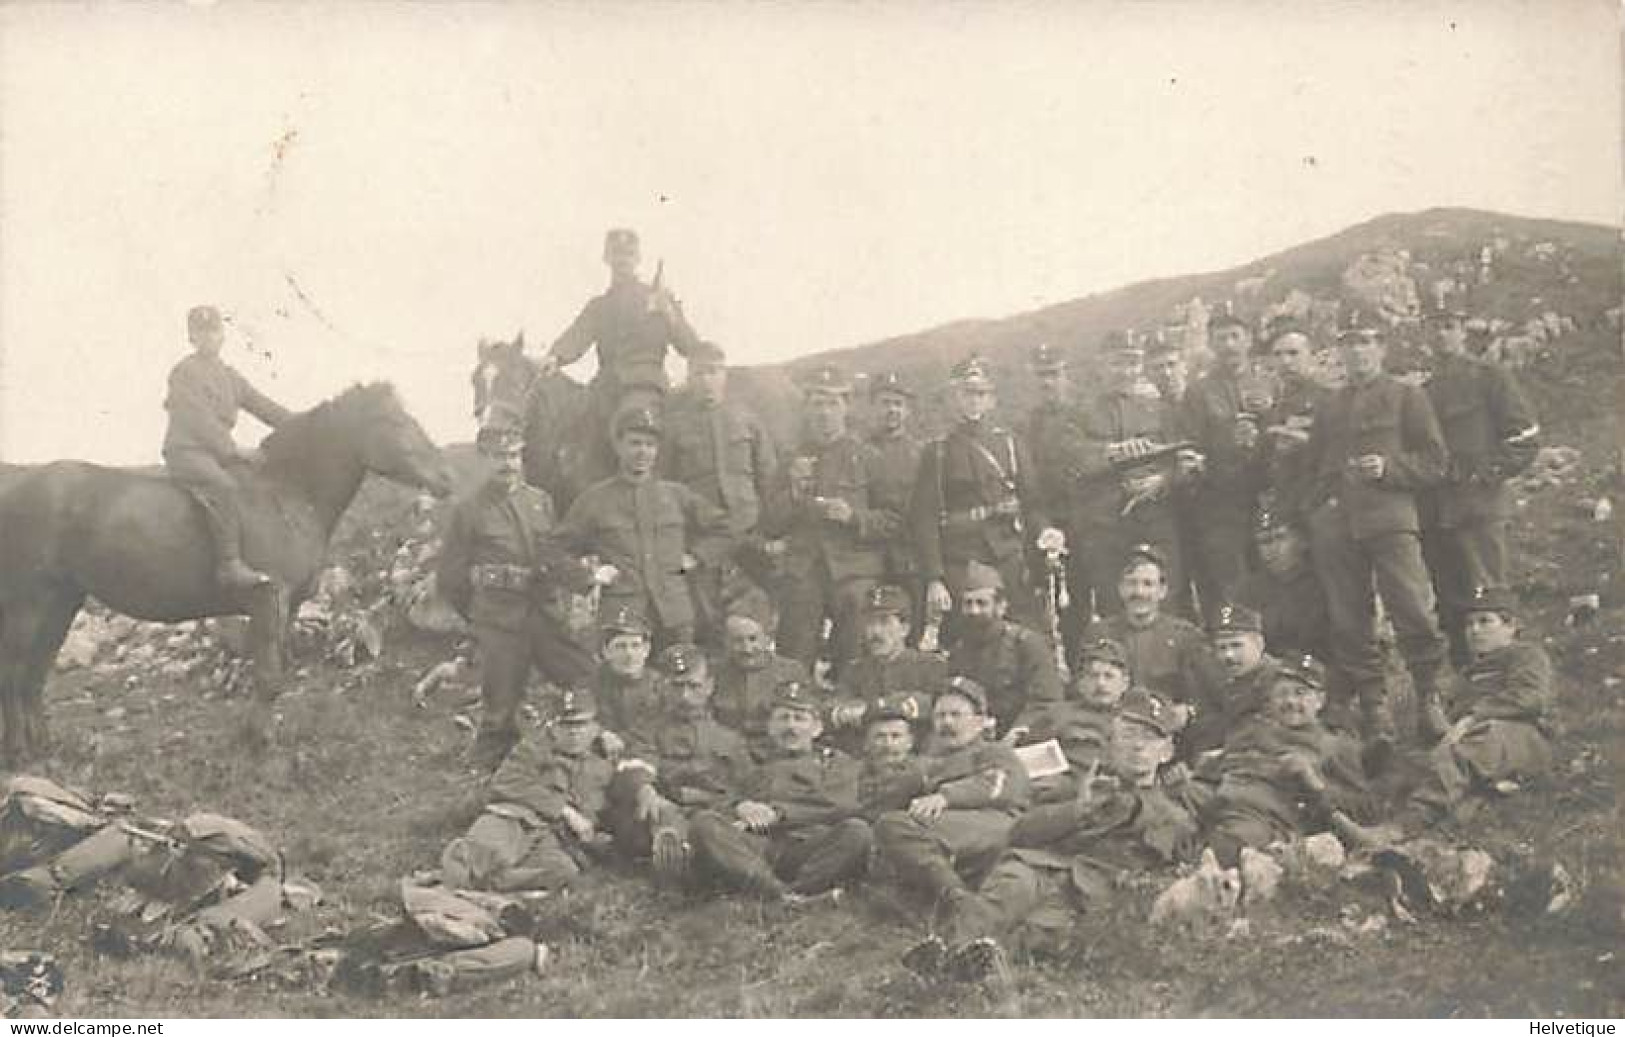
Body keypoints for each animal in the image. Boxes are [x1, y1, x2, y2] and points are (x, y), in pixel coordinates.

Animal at [0, 381, 451, 763]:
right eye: (395, 421)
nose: (446, 478)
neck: (286, 493)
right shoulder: (269, 600)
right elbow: (268, 677)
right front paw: (259, 744)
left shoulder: (287, 608)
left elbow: (273, 674)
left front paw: (252, 735)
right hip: (30, 602)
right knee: (15, 670)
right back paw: (19, 753)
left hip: (63, 601)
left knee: (36, 671)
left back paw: (44, 748)